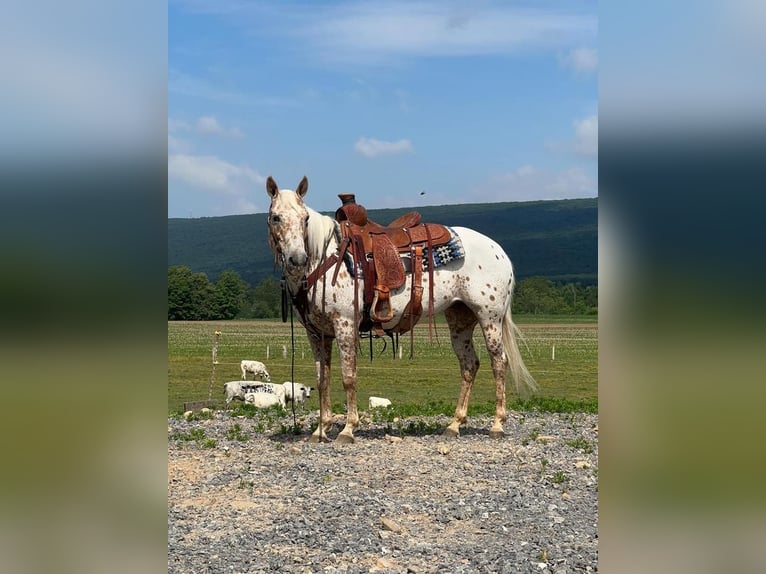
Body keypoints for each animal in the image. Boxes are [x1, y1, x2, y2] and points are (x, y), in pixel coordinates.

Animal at [268, 177, 536, 446]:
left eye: (305, 218)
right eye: (275, 217)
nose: (297, 259)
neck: (324, 258)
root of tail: (498, 250)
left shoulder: (345, 325)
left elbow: (348, 377)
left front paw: (348, 429)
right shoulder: (316, 333)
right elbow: (322, 379)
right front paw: (320, 429)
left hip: (490, 317)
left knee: (499, 363)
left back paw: (497, 424)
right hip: (460, 319)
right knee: (469, 365)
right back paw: (454, 425)